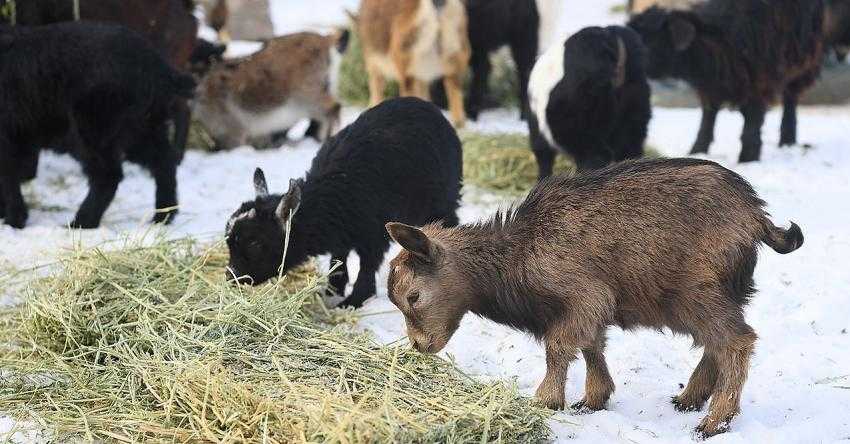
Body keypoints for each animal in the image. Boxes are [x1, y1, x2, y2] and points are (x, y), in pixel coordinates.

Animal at [0, 22, 194, 229]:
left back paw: (81, 222)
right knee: (164, 161)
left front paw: (13, 220)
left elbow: (8, 178)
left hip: (94, 129)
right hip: (142, 128)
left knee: (108, 176)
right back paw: (163, 216)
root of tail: (155, 65)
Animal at [225, 98, 460, 308]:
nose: (232, 278)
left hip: (442, 199)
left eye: (254, 243)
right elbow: (339, 257)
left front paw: (355, 300)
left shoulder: (374, 232)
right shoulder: (343, 230)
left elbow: (367, 265)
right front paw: (332, 289)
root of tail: (428, 106)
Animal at [384, 159, 800, 438]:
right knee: (717, 343)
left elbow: (560, 346)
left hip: (697, 291)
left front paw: (546, 400)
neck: (518, 255)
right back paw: (689, 399)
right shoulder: (591, 307)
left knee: (736, 341)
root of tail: (757, 218)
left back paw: (714, 421)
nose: (420, 346)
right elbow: (591, 345)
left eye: (413, 296)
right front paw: (594, 398)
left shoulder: (584, 296)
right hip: (726, 292)